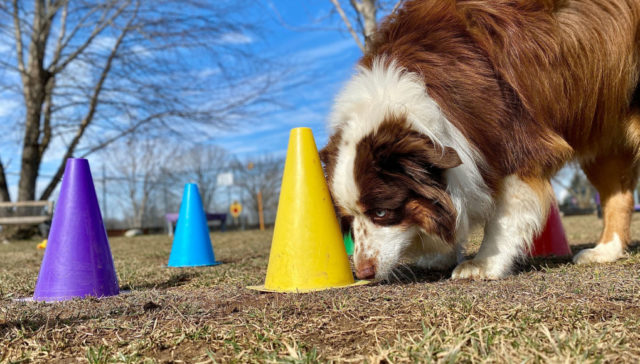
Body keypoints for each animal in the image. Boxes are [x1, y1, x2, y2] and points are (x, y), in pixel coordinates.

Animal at [320, 0, 640, 282]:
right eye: (348, 218)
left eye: (381, 212)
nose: (364, 273)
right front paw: (440, 255)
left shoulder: (513, 135)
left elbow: (505, 211)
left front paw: (482, 264)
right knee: (619, 194)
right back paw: (604, 251)